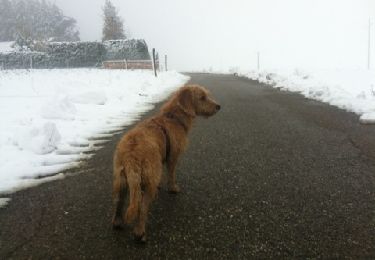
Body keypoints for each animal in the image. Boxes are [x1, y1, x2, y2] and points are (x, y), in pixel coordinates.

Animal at [113, 85, 222, 242]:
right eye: (202, 97)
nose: (218, 106)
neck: (173, 118)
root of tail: (131, 154)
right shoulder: (173, 157)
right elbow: (171, 174)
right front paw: (173, 188)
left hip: (121, 180)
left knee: (119, 202)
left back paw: (117, 222)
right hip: (146, 184)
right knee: (142, 207)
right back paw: (140, 232)